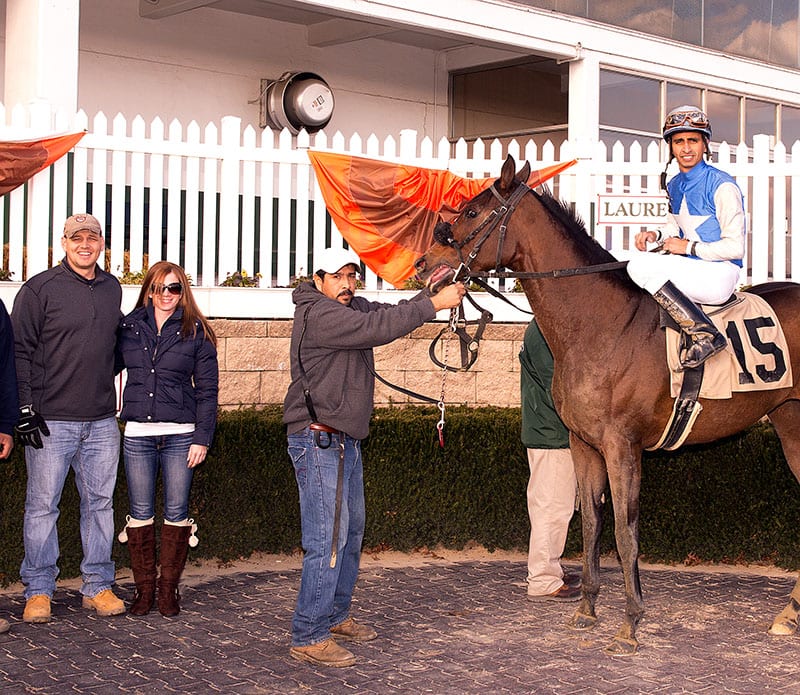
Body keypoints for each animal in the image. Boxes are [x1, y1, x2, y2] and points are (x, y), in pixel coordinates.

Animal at [416, 155, 800, 656]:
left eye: (471, 212)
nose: (423, 263)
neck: (600, 323)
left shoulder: (622, 446)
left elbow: (624, 529)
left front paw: (630, 623)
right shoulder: (583, 443)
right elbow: (590, 525)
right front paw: (586, 609)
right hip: (791, 423)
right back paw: (789, 614)